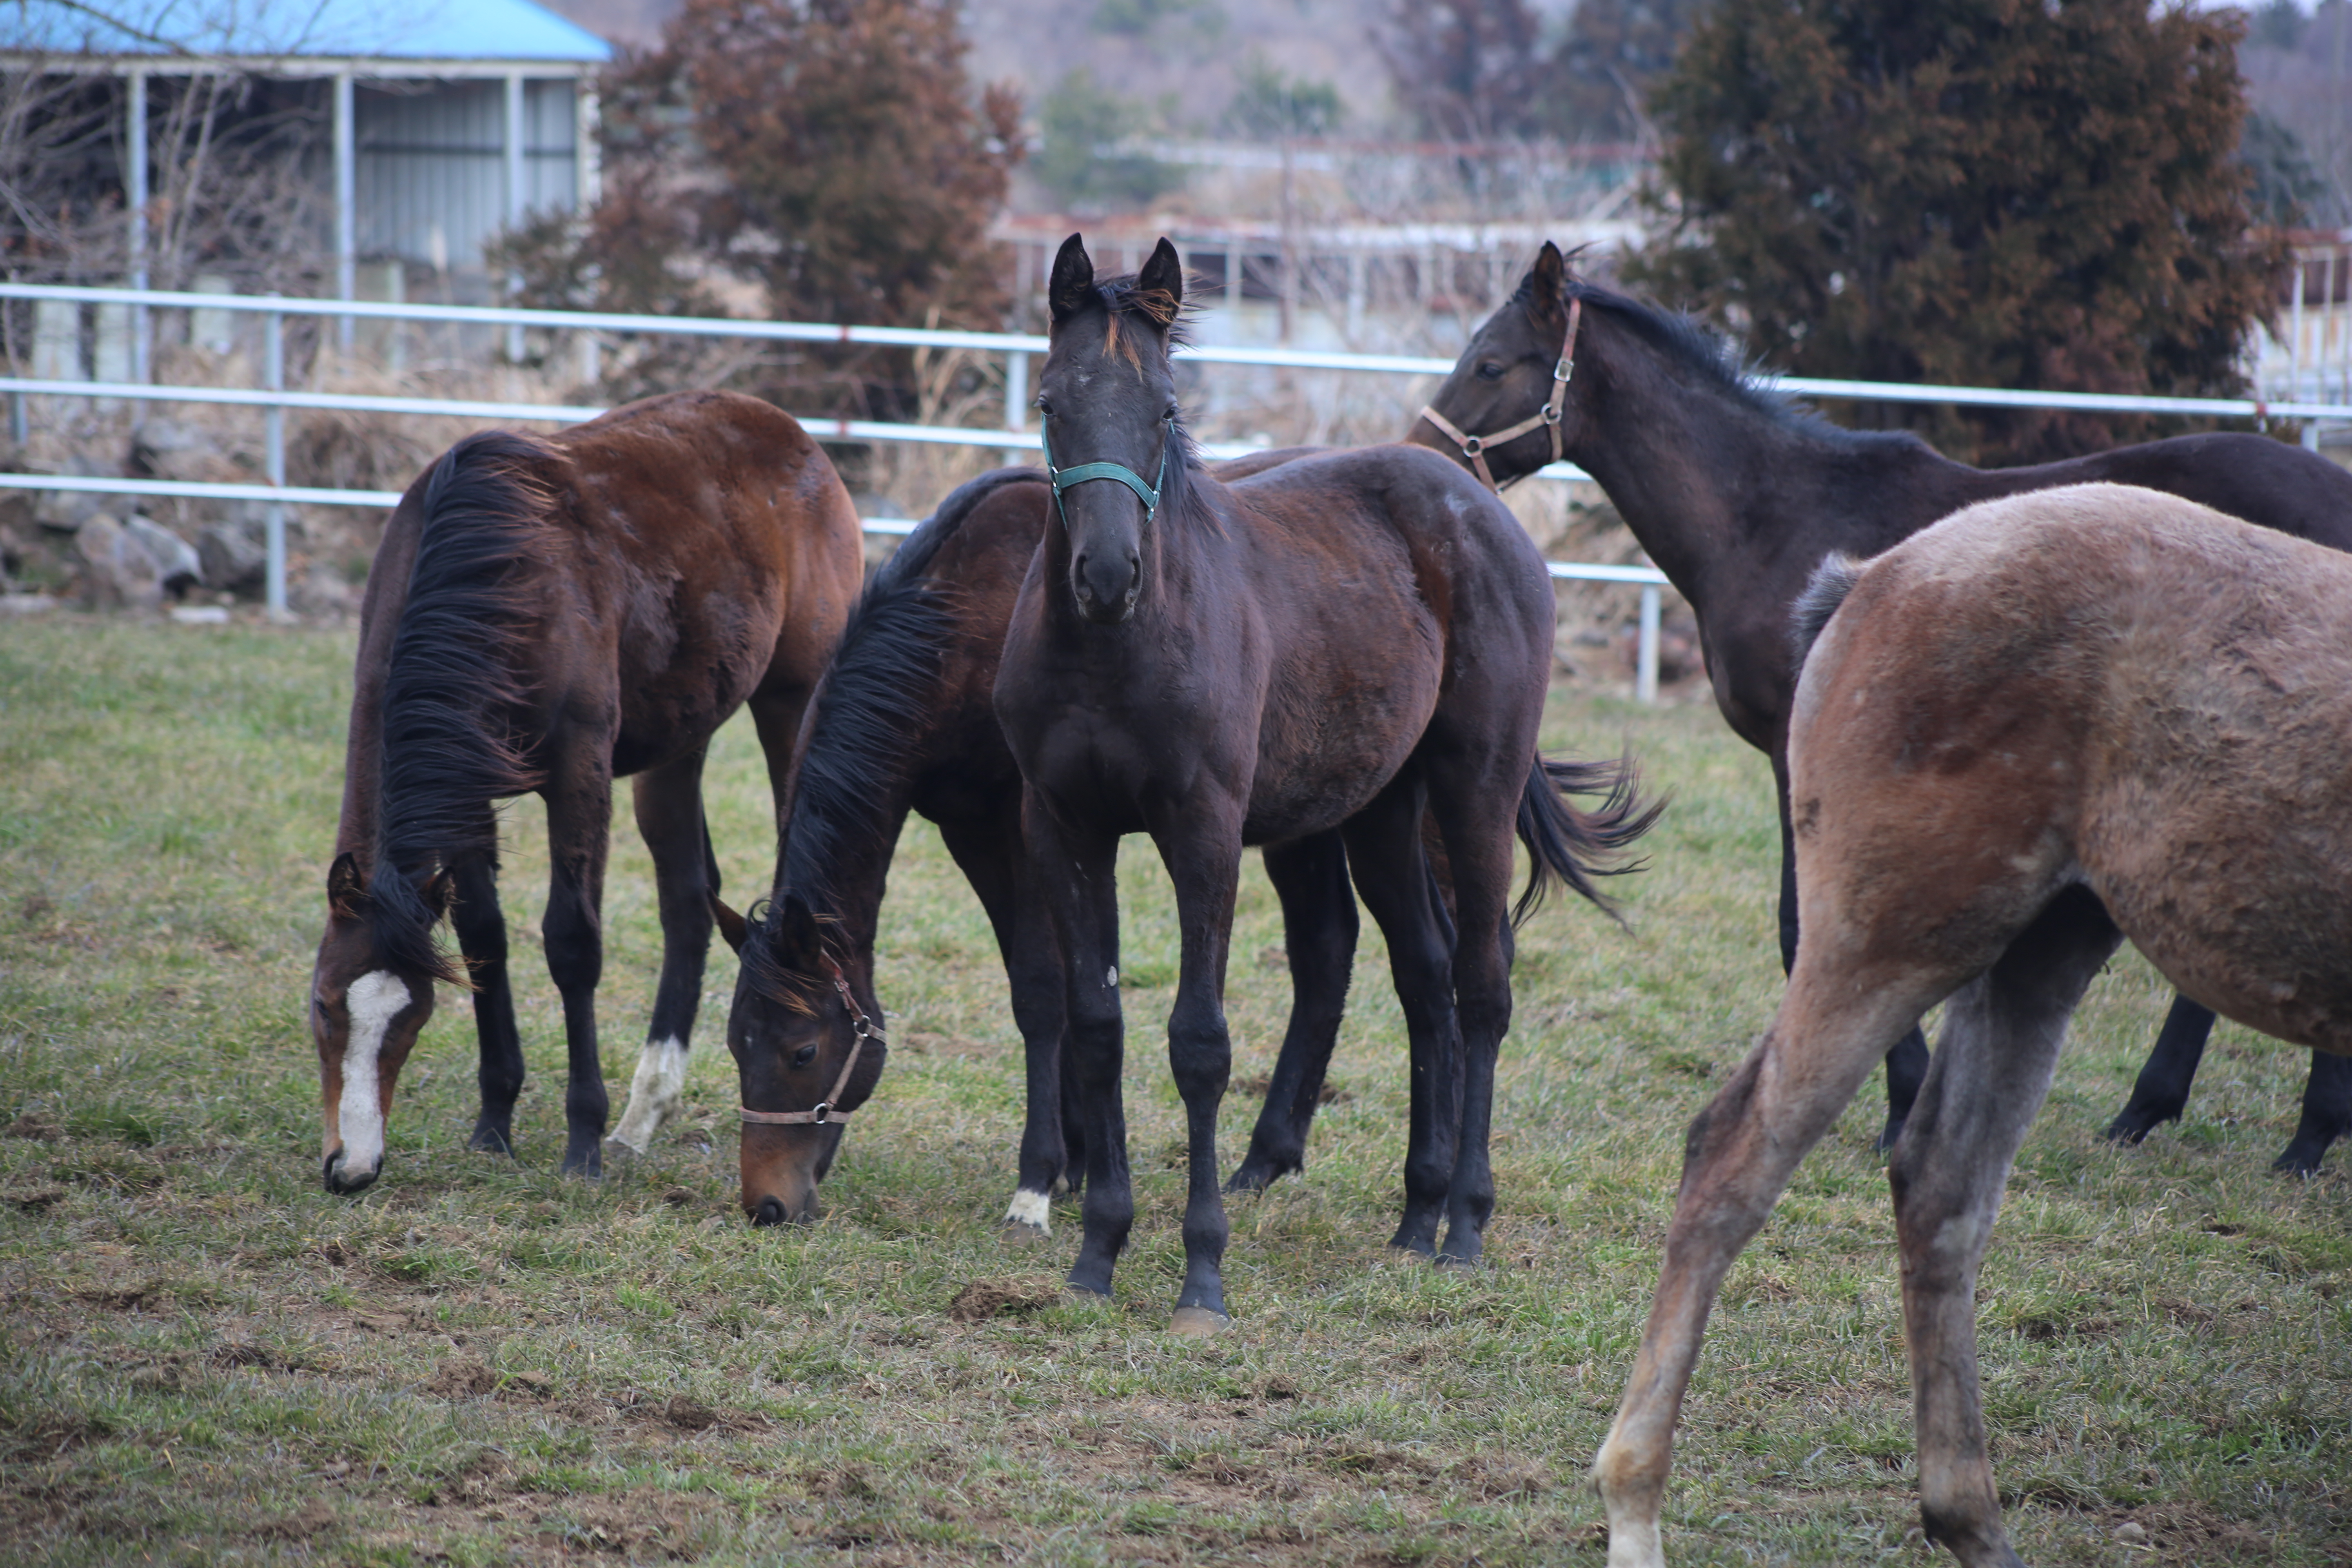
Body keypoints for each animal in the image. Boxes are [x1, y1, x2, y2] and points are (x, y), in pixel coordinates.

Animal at [308, 390, 865, 1189]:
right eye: (324, 1007)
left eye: (411, 1018)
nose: (349, 1167)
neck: (484, 574)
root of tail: (788, 430)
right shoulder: (468, 783)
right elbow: (484, 933)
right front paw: (495, 1122)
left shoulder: (578, 769)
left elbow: (571, 942)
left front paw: (582, 1142)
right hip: (681, 738)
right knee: (687, 899)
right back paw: (643, 1115)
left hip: (792, 701)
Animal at [983, 236, 1646, 1335]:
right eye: (1049, 401)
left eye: (1164, 407)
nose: (1108, 575)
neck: (1114, 650)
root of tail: (1475, 502)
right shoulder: (1062, 828)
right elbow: (1098, 1029)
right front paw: (1097, 1250)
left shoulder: (1204, 831)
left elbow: (1198, 1043)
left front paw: (1201, 1274)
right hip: (1378, 808)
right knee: (1422, 975)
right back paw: (1415, 1214)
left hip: (1474, 787)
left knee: (1481, 985)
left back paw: (1465, 1224)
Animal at [1421, 242, 2352, 1166]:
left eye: (1491, 363)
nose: (1423, 453)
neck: (1774, 521)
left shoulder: (1801, 749)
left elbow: (1811, 927)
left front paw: (1900, 1103)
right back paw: (2159, 1113)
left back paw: (2300, 1137)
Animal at [1590, 482, 2352, 1568]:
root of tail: (1874, 576)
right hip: (1896, 941)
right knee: (1734, 1153)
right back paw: (1635, 1506)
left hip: (2034, 952)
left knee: (1940, 1187)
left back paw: (1968, 1518)